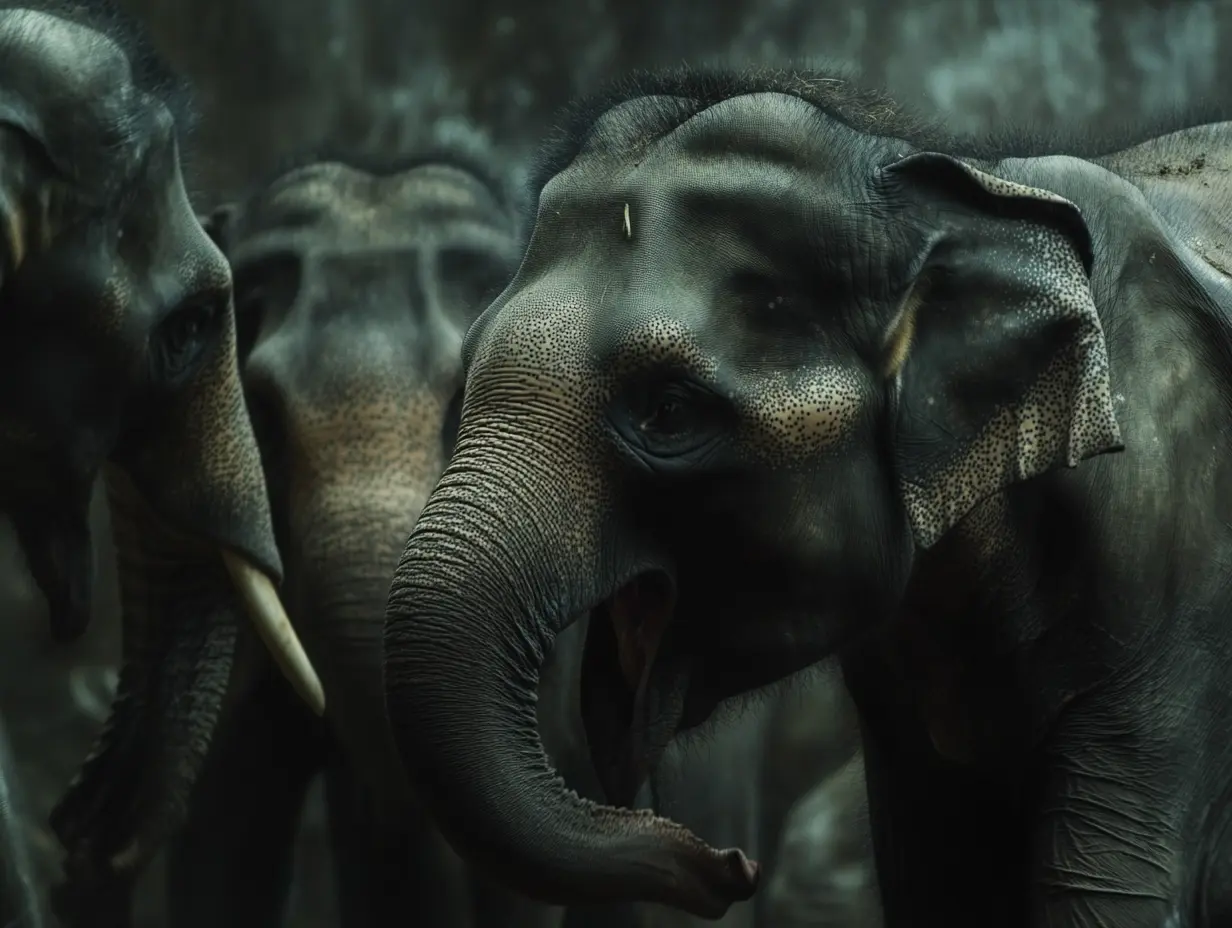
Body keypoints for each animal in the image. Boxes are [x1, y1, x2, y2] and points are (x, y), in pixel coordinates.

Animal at [381, 62, 1232, 927]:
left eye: (669, 410)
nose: (734, 867)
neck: (958, 188)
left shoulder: (1171, 568)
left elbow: (1105, 888)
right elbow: (938, 883)